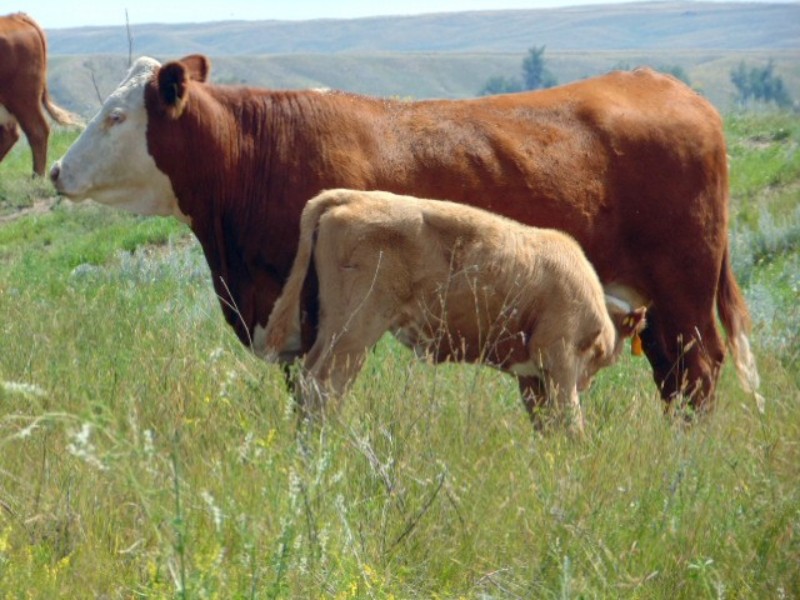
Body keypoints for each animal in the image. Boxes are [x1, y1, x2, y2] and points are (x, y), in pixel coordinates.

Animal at [263, 189, 647, 432]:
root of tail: (350, 195)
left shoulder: (532, 377)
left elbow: (547, 425)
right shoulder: (560, 359)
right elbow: (571, 422)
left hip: (332, 330)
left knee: (308, 381)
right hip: (354, 332)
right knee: (324, 386)